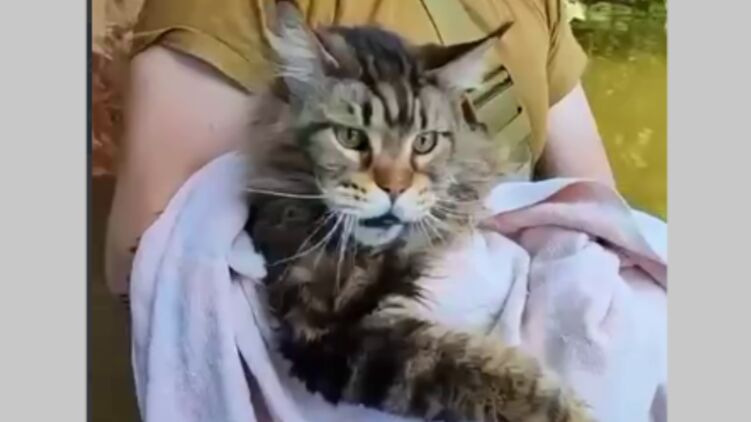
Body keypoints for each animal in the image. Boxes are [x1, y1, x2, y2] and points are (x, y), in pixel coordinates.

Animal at [244, 2, 594, 421]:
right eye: (350, 137)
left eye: (424, 142)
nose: (395, 188)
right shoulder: (327, 332)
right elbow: (465, 367)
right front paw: (563, 408)